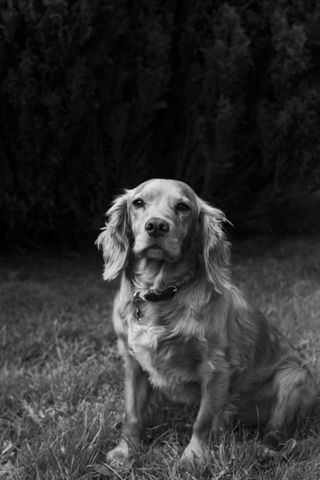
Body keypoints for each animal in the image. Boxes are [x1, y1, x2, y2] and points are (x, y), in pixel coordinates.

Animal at [96, 179, 318, 468]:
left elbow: (202, 421)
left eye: (183, 207)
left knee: (276, 430)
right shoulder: (132, 363)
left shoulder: (216, 369)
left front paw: (193, 458)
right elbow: (132, 413)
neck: (161, 293)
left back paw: (264, 450)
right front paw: (125, 451)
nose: (156, 226)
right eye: (138, 203)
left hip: (292, 377)